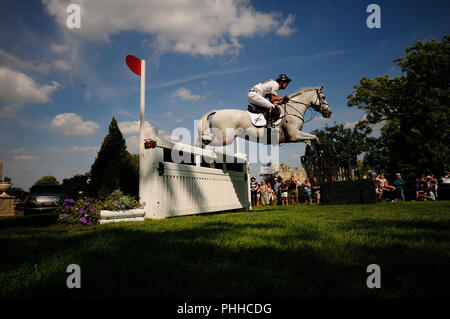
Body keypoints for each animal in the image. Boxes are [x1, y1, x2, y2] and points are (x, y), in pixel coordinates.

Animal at [199, 85, 332, 148]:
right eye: (324, 97)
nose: (329, 113)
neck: (292, 109)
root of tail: (217, 112)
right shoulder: (294, 135)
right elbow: (315, 137)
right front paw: (319, 151)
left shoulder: (293, 138)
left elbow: (309, 140)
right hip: (224, 138)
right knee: (203, 141)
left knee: (203, 141)